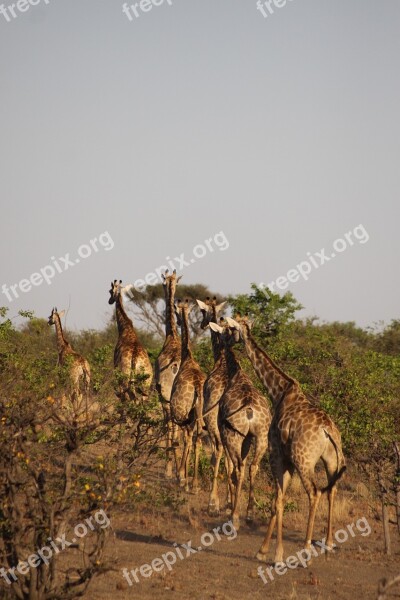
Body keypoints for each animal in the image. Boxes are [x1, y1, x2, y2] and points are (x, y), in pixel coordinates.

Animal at [209, 324, 272, 528]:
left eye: (224, 331)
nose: (221, 341)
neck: (236, 374)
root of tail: (249, 411)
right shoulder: (249, 438)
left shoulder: (225, 431)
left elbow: (229, 465)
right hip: (261, 437)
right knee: (252, 467)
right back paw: (249, 514)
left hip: (233, 436)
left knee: (238, 468)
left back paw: (234, 516)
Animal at [227, 316, 346, 564]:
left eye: (232, 328)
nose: (229, 338)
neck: (279, 392)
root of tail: (328, 431)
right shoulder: (287, 459)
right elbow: (278, 501)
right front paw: (264, 550)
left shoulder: (276, 453)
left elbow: (277, 500)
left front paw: (275, 553)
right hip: (331, 460)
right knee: (332, 490)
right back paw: (329, 543)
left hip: (304, 459)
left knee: (314, 492)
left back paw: (307, 548)